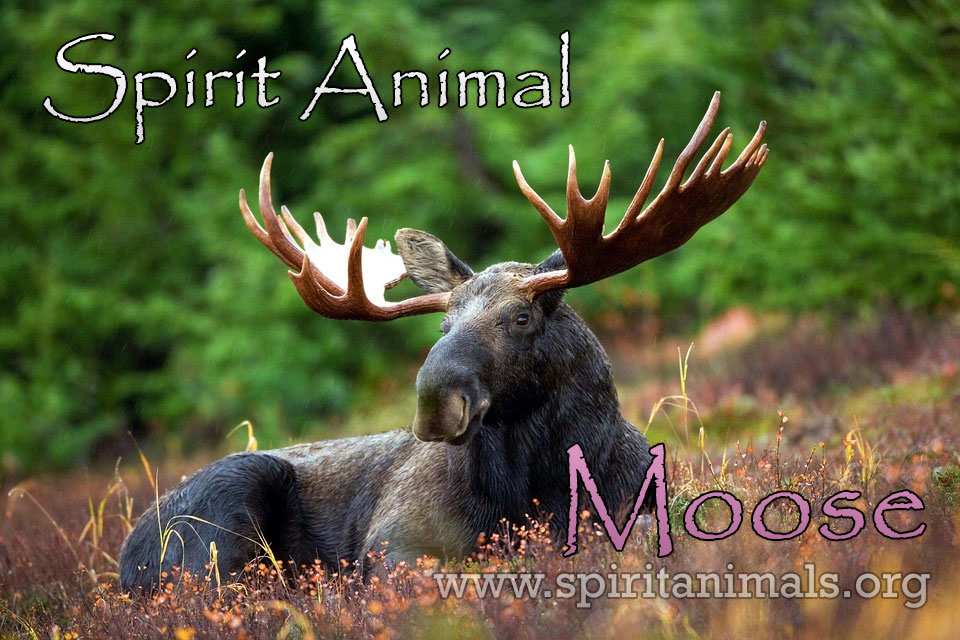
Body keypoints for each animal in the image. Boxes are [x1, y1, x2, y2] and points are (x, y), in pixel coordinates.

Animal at [119, 92, 767, 591]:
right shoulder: (393, 543)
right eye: (442, 325)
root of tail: (124, 559)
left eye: (520, 318)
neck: (536, 487)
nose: (435, 400)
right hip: (223, 515)